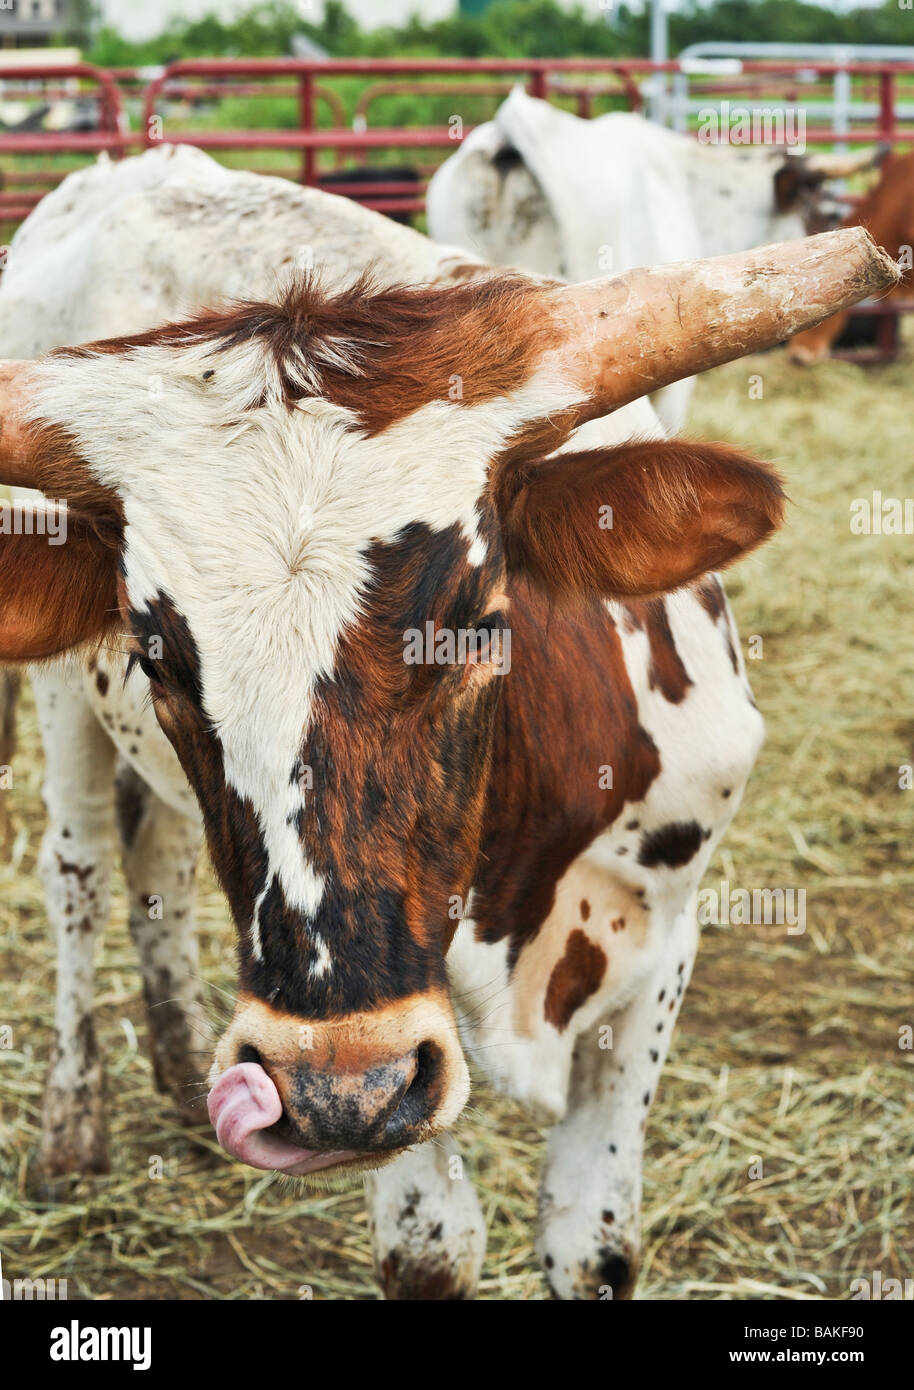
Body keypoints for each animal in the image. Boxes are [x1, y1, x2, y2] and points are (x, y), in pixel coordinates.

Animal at [0, 152, 888, 1301]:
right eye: (156, 650)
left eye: (475, 620)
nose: (328, 1083)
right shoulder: (387, 1066)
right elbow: (430, 1249)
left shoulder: (662, 945)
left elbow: (591, 1243)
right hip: (65, 700)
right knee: (78, 873)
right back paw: (73, 1124)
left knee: (159, 855)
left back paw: (183, 1062)